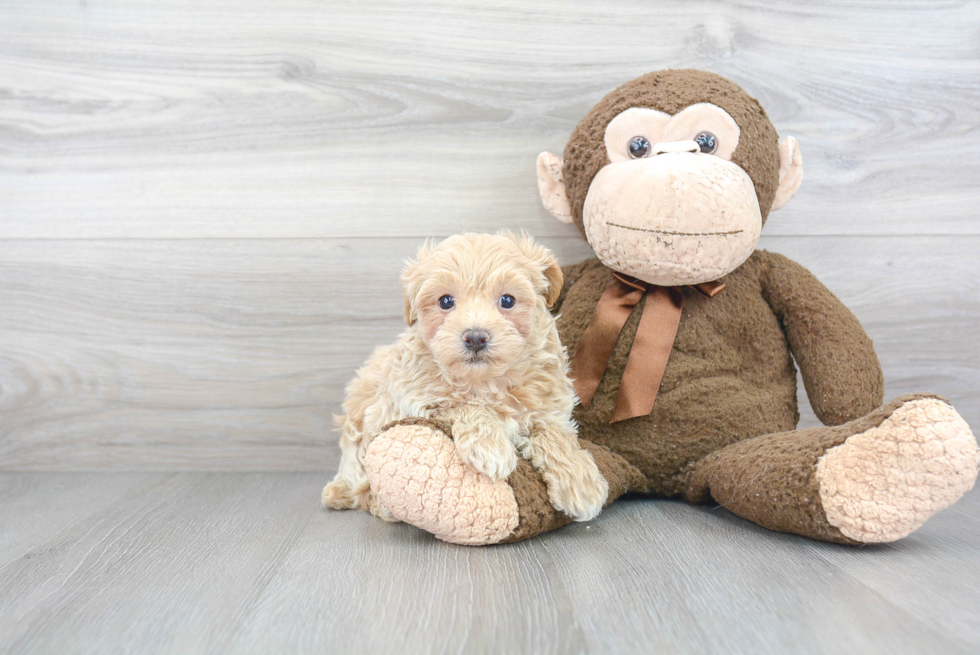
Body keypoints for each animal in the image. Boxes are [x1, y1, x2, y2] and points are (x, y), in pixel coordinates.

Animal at [322, 233, 608, 524]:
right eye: (446, 301)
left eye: (507, 300)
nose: (476, 337)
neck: (485, 381)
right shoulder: (411, 401)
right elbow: (466, 406)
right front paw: (490, 447)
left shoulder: (548, 406)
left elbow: (555, 434)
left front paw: (580, 482)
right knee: (359, 480)